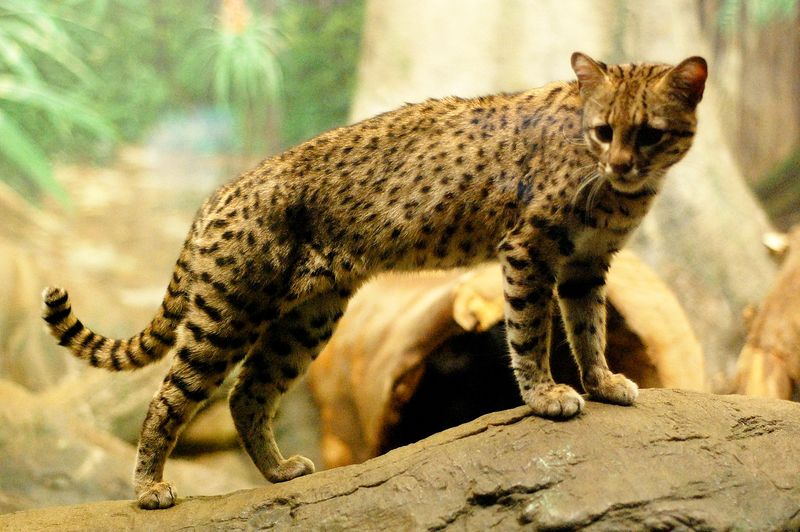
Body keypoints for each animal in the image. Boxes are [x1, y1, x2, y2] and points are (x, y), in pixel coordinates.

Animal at [43, 53, 708, 508]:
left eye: (649, 132)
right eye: (604, 130)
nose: (622, 165)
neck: (614, 187)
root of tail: (218, 193)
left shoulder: (585, 265)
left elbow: (590, 329)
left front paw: (602, 383)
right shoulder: (528, 250)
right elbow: (530, 333)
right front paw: (547, 396)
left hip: (307, 318)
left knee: (247, 393)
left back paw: (278, 473)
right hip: (227, 316)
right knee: (169, 397)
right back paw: (149, 489)